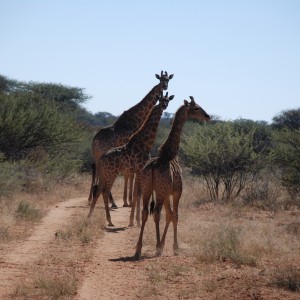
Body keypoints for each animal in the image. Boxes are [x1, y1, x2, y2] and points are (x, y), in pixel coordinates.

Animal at [88, 92, 175, 226]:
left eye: (168, 101)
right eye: (160, 100)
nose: (164, 106)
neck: (145, 143)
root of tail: (101, 159)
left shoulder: (138, 171)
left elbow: (137, 193)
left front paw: (134, 220)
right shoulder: (139, 169)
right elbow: (138, 193)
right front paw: (137, 221)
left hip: (104, 173)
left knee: (98, 190)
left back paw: (90, 217)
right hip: (111, 173)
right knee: (105, 191)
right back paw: (109, 220)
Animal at [135, 96, 210, 260]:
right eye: (196, 108)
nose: (208, 116)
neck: (170, 154)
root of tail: (153, 167)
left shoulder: (166, 193)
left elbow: (169, 214)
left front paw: (164, 245)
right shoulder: (176, 192)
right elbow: (175, 215)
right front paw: (174, 248)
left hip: (147, 189)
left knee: (145, 212)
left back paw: (138, 249)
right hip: (160, 192)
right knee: (157, 212)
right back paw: (156, 248)